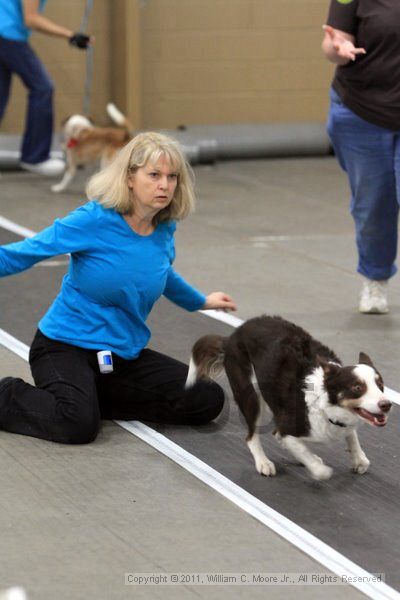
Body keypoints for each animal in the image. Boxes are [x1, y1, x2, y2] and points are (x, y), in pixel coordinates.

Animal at [186, 316, 392, 480]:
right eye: (357, 387)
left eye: (380, 385)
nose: (387, 404)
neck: (325, 404)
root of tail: (232, 337)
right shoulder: (289, 425)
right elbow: (314, 464)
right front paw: (318, 468)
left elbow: (351, 434)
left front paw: (359, 459)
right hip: (250, 395)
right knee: (252, 436)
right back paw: (264, 463)